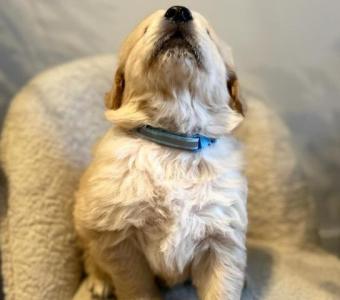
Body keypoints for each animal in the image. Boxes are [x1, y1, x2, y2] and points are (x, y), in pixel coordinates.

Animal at [75, 7, 247, 300]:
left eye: (208, 33)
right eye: (144, 30)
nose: (178, 10)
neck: (174, 143)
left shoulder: (223, 236)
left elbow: (222, 287)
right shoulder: (117, 234)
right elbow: (137, 286)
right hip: (84, 220)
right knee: (91, 256)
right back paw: (99, 282)